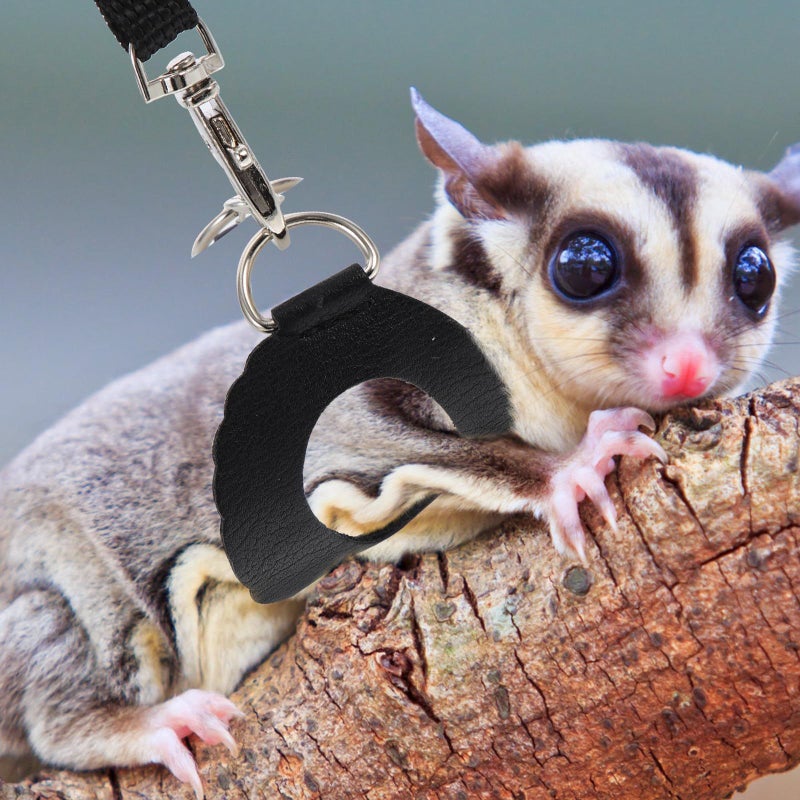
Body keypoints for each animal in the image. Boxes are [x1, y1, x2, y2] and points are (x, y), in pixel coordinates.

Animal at [1, 90, 798, 797]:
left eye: (755, 278)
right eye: (584, 266)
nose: (687, 365)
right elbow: (389, 446)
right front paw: (571, 468)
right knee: (64, 641)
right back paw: (147, 724)